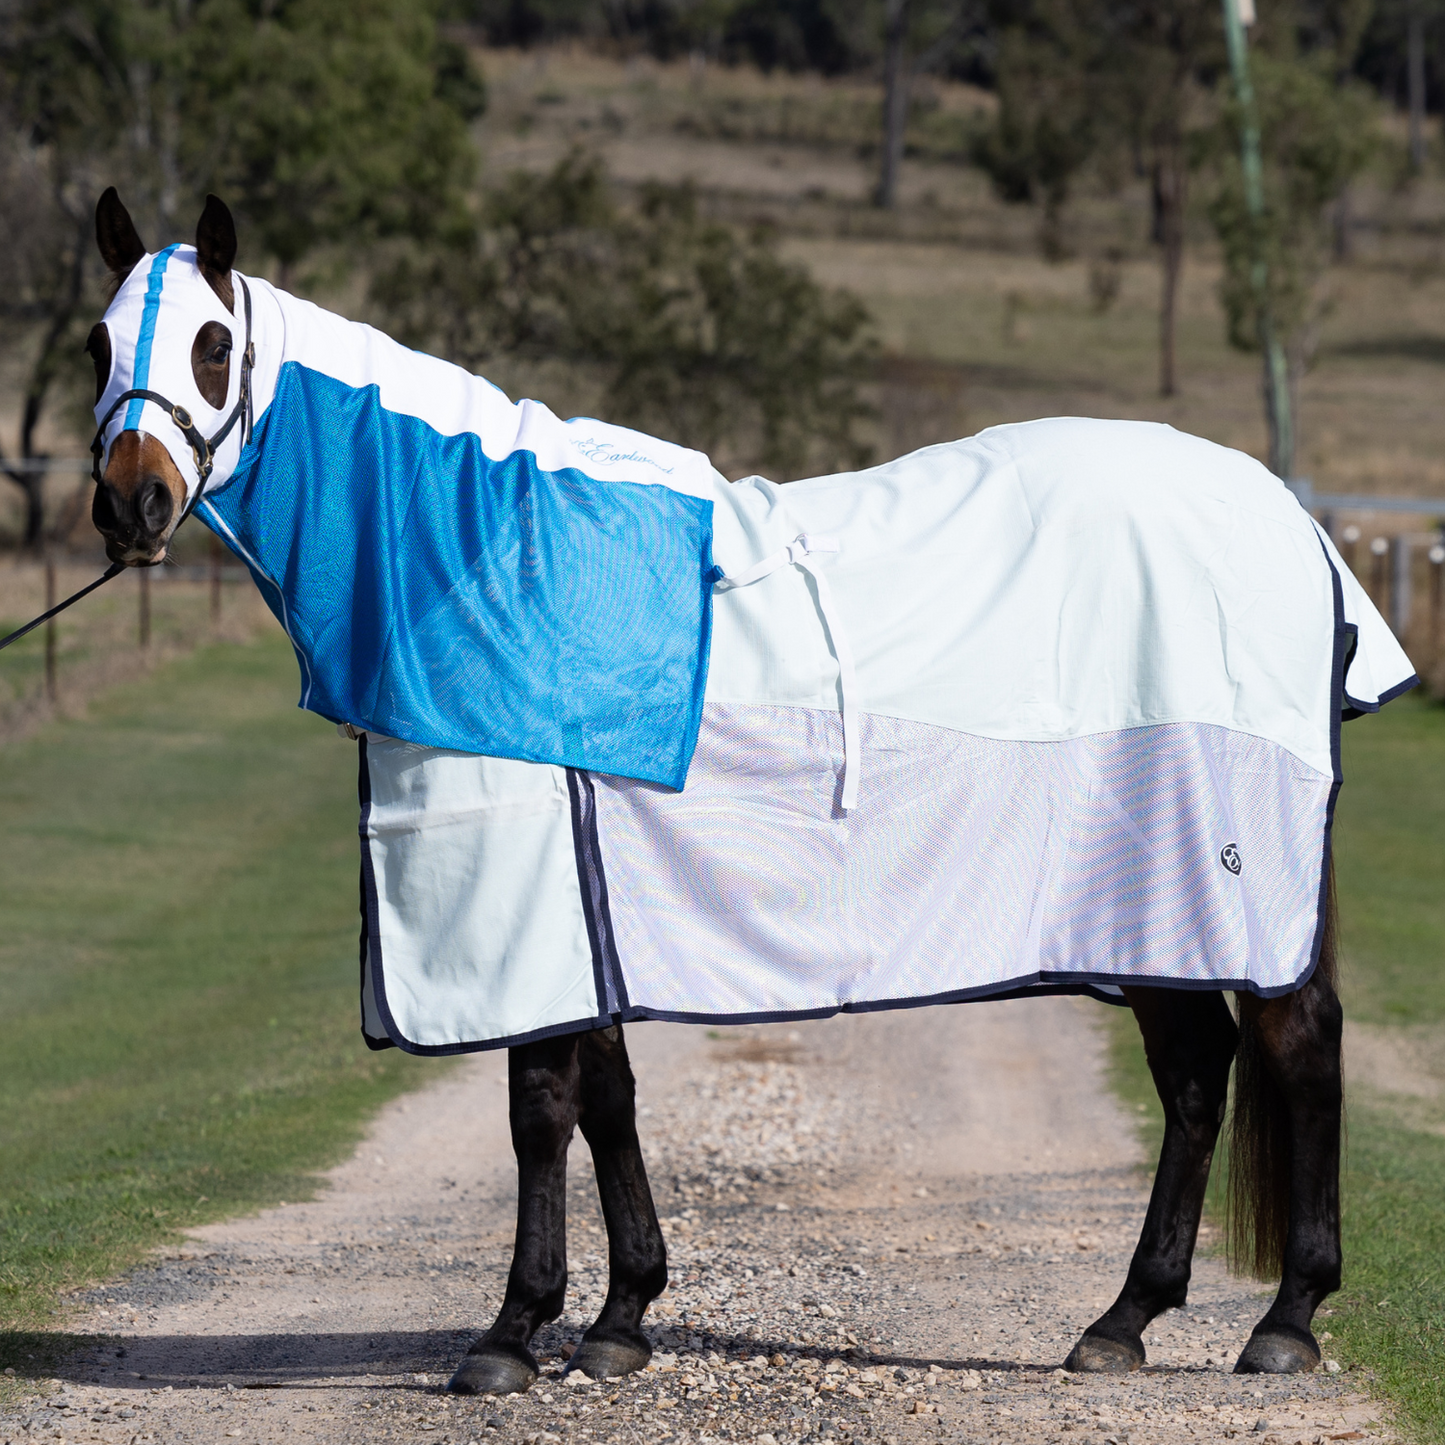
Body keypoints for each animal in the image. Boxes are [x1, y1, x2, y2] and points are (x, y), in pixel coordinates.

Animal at [84, 186, 1416, 1392]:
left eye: (213, 344)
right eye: (97, 343)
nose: (128, 503)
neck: (482, 552)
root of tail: (1289, 521)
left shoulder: (530, 889)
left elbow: (539, 1102)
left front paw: (511, 1332)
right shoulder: (588, 909)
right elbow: (609, 1096)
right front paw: (621, 1314)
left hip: (1225, 884)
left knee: (1295, 1045)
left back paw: (1284, 1319)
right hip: (1149, 904)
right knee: (1196, 1075)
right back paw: (1122, 1318)